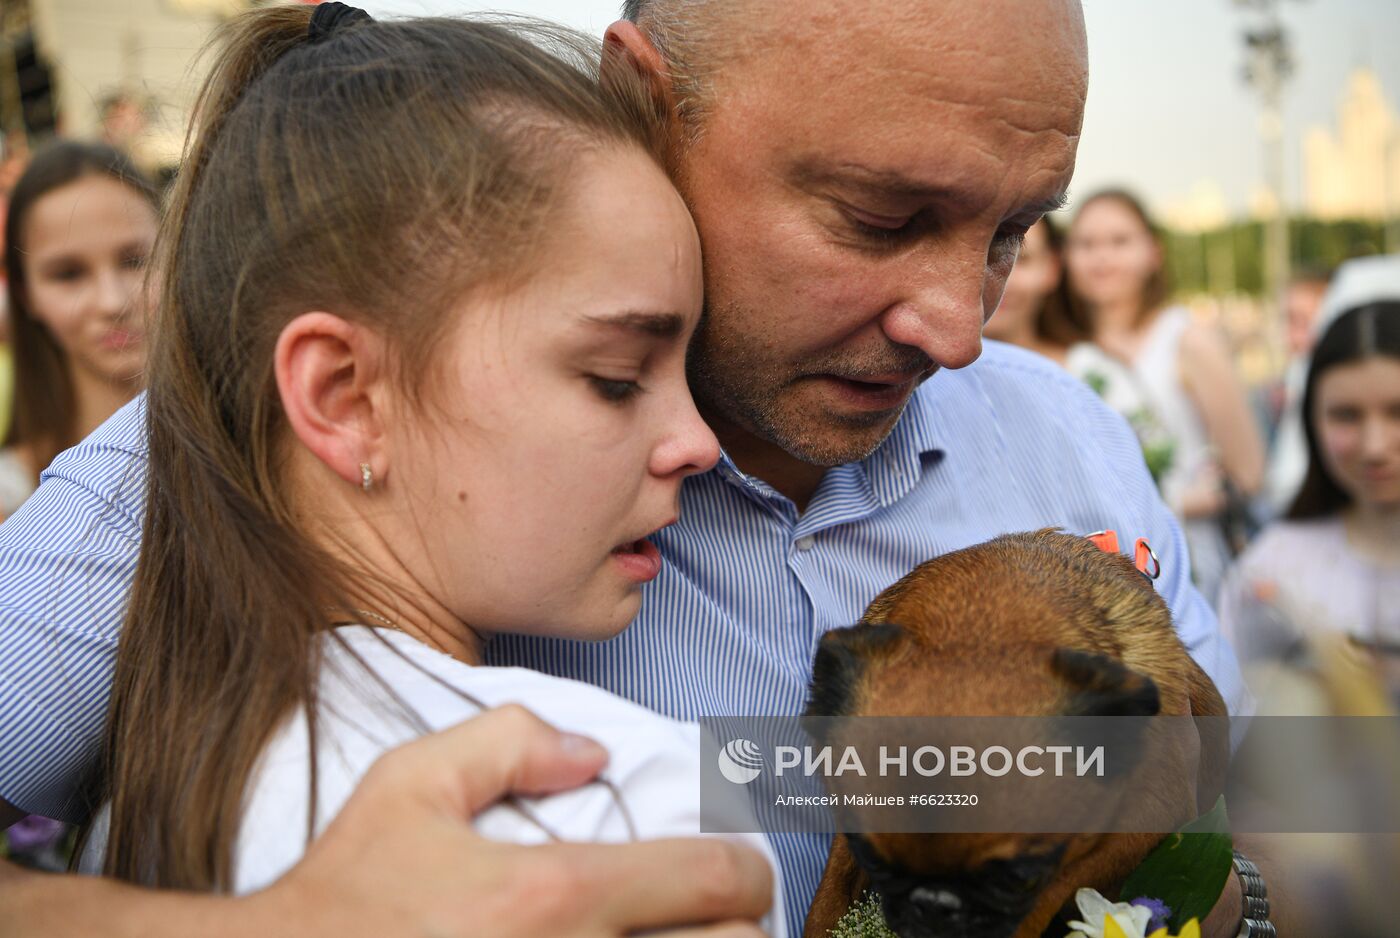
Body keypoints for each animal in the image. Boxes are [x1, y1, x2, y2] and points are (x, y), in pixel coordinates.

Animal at [800, 529, 1226, 938]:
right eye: (873, 862)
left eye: (1020, 879)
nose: (934, 904)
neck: (977, 635)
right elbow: (829, 896)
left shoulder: (1134, 827)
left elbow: (1047, 896)